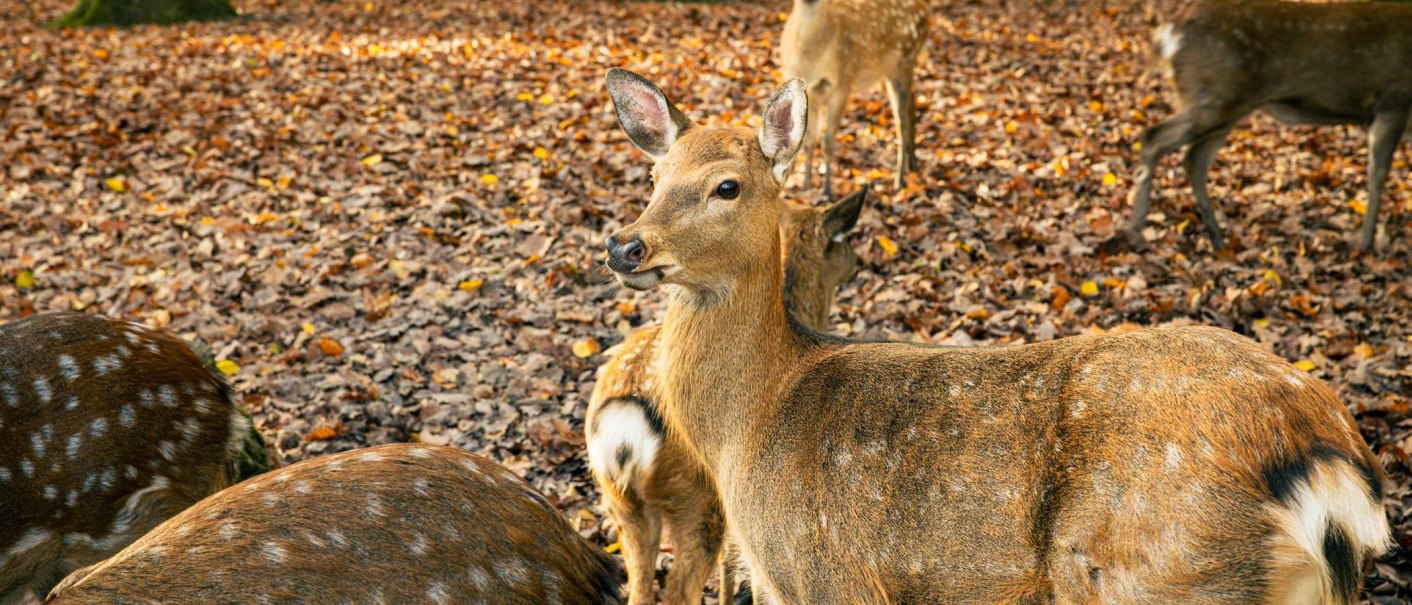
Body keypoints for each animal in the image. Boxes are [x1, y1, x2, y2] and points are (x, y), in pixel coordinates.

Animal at [779, 0, 928, 196]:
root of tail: (925, 11)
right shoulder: (809, 89)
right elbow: (809, 140)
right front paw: (806, 187)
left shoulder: (842, 84)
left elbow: (828, 140)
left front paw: (827, 190)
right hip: (885, 76)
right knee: (912, 105)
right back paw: (912, 163)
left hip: (905, 63)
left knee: (900, 121)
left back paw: (900, 180)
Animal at [1128, 0, 1412, 252]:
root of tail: (1168, 33)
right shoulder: (1392, 102)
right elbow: (1378, 174)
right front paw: (1366, 244)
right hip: (1213, 97)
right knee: (1154, 137)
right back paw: (1136, 230)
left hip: (1225, 106)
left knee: (1193, 159)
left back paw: (1216, 239)